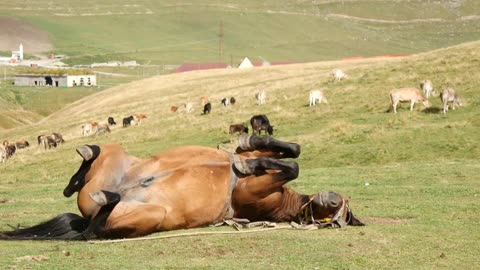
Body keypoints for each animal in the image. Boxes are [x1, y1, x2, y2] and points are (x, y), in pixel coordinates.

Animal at [0, 135, 364, 240]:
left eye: (343, 212)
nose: (333, 198)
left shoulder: (249, 197)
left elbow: (291, 165)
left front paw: (245, 165)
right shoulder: (261, 162)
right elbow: (287, 151)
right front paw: (246, 150)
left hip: (150, 215)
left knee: (97, 229)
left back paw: (108, 200)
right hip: (119, 157)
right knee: (90, 167)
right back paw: (85, 164)